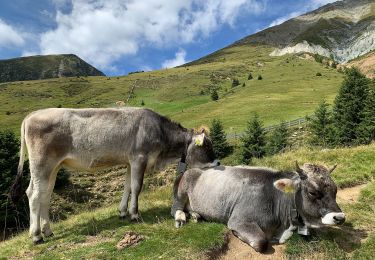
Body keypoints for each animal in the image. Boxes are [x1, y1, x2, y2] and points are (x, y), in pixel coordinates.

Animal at [10, 107, 219, 244]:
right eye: (207, 146)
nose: (218, 163)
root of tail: (32, 115)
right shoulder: (139, 158)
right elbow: (136, 187)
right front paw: (135, 214)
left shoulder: (129, 162)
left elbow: (127, 186)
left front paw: (122, 212)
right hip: (42, 164)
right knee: (34, 195)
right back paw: (36, 235)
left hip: (52, 168)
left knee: (44, 195)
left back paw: (47, 231)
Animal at [172, 162, 346, 252]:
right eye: (312, 192)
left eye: (335, 190)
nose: (340, 217)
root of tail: (195, 168)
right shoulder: (238, 220)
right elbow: (260, 242)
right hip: (181, 191)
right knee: (176, 208)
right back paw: (181, 218)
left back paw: (196, 215)